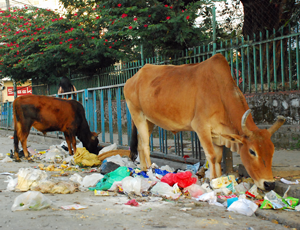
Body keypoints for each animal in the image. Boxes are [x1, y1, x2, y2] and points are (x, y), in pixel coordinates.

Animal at [125, 53, 286, 190]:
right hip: (137, 114)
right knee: (145, 145)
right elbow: (212, 156)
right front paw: (211, 181)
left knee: (140, 144)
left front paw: (218, 179)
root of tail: (132, 78)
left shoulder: (218, 134)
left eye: (272, 150)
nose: (269, 184)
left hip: (149, 120)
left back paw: (143, 170)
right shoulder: (201, 127)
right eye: (252, 151)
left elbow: (218, 158)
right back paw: (150, 171)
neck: (219, 91)